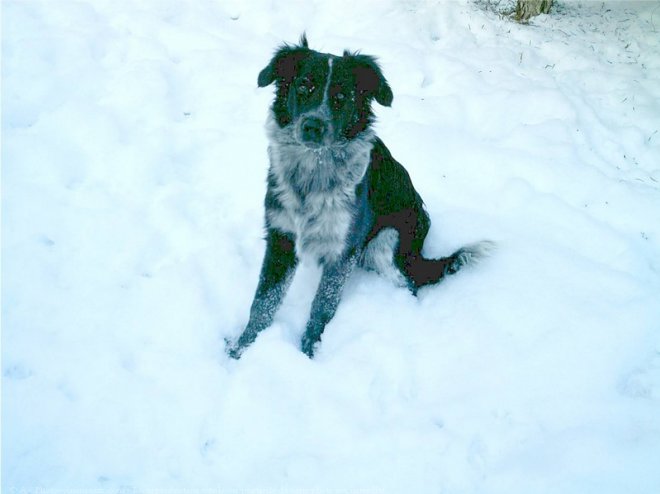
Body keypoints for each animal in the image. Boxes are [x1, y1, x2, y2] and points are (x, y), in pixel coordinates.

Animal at [226, 35, 490, 358]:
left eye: (342, 97)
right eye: (303, 86)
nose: (312, 126)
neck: (314, 174)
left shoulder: (344, 247)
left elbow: (322, 305)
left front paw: (308, 354)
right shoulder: (281, 235)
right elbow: (264, 301)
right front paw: (241, 350)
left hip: (385, 244)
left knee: (409, 285)